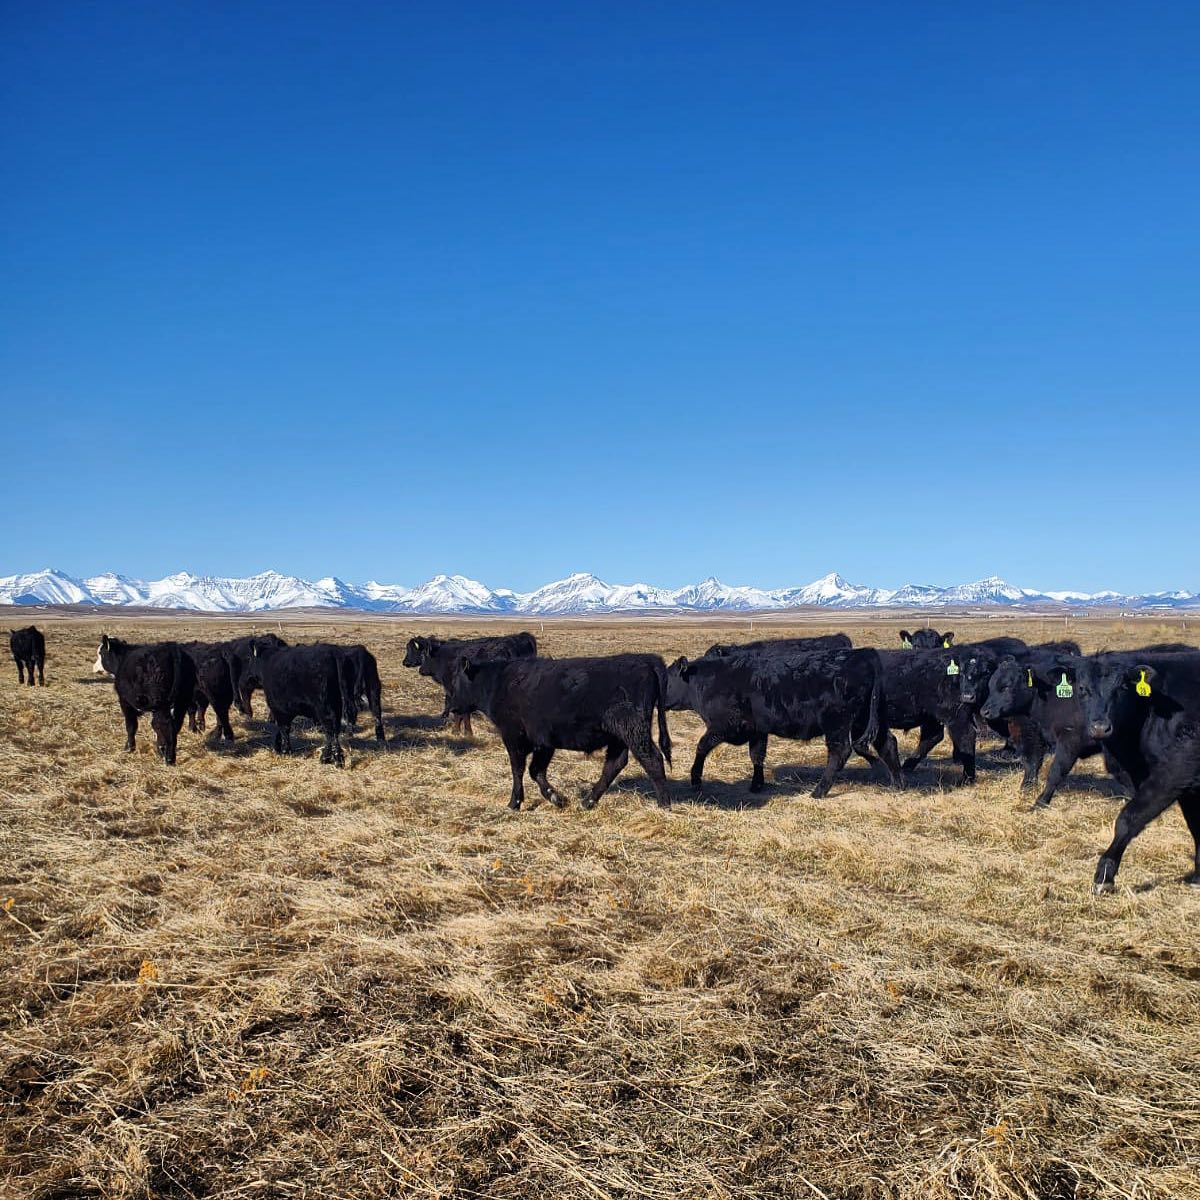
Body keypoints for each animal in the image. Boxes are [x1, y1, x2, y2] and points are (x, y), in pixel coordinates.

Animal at [404, 632, 537, 736]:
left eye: (414, 650)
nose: (404, 662)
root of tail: (521, 638)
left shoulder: (454, 689)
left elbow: (459, 710)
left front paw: (461, 732)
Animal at [446, 653, 671, 810]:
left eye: (456, 681)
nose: (451, 708)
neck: (498, 682)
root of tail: (647, 660)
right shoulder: (543, 741)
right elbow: (536, 770)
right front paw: (556, 798)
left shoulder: (513, 736)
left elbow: (518, 769)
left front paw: (514, 803)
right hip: (619, 737)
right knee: (614, 764)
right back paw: (588, 802)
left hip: (633, 730)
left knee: (652, 759)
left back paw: (664, 805)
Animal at [665, 647, 902, 798]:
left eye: (666, 679)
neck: (710, 679)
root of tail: (864, 654)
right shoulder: (757, 730)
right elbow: (757, 755)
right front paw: (756, 784)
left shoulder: (724, 726)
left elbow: (702, 746)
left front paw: (695, 780)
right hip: (865, 719)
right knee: (888, 742)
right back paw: (897, 784)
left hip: (838, 723)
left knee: (840, 752)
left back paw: (818, 792)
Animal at [1067, 649, 1200, 893]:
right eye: (1082, 688)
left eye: (1121, 688)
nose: (1100, 728)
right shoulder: (1189, 788)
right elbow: (1195, 825)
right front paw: (1197, 876)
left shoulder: (1174, 773)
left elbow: (1127, 819)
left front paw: (1104, 877)